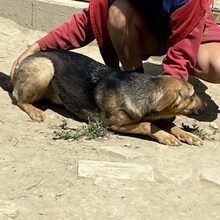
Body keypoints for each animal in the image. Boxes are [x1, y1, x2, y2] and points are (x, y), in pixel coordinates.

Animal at [9, 49, 204, 146]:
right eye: (193, 95)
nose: (206, 106)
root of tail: (28, 56)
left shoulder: (160, 115)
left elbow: (171, 125)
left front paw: (188, 135)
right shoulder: (115, 125)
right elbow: (147, 125)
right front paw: (166, 136)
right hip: (46, 68)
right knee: (19, 99)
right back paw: (34, 110)